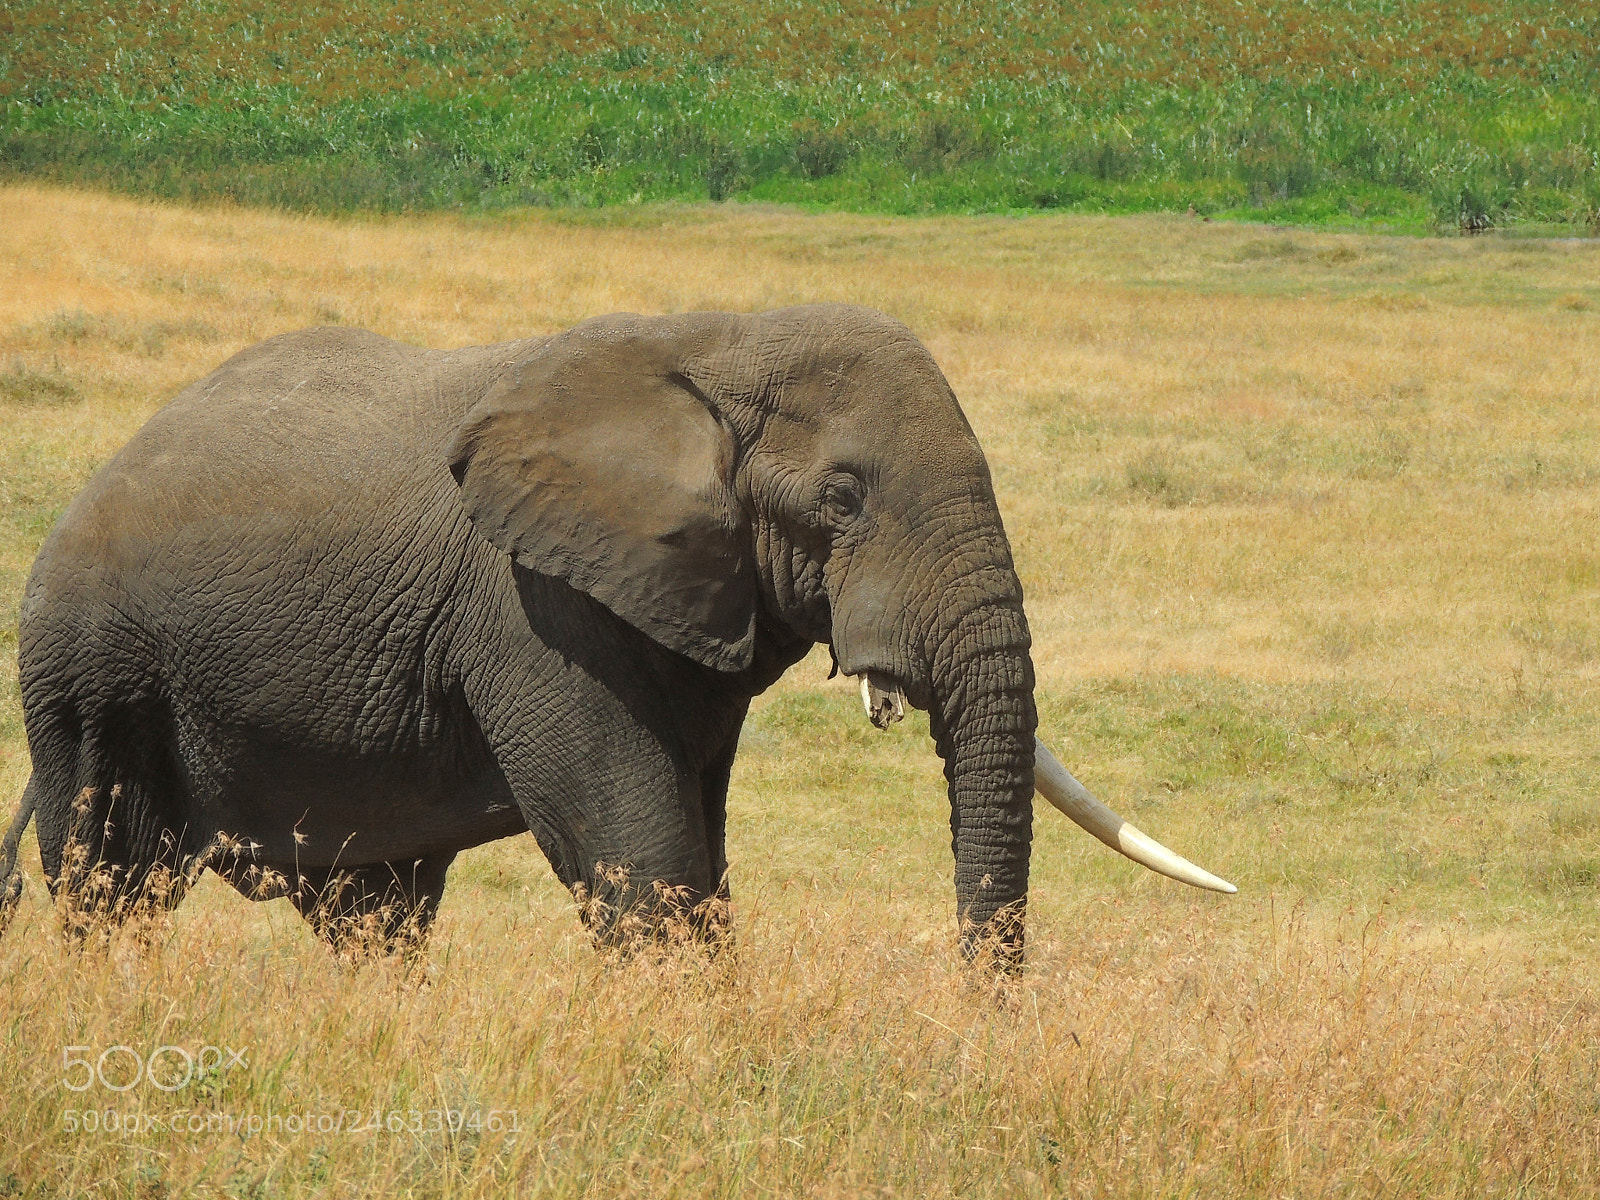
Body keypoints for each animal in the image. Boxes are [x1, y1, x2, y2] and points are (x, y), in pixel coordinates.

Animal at [0, 304, 1231, 965]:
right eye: (842, 496)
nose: (974, 1024)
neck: (719, 342)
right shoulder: (532, 607)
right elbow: (643, 851)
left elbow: (698, 845)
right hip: (91, 670)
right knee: (108, 879)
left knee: (376, 911)